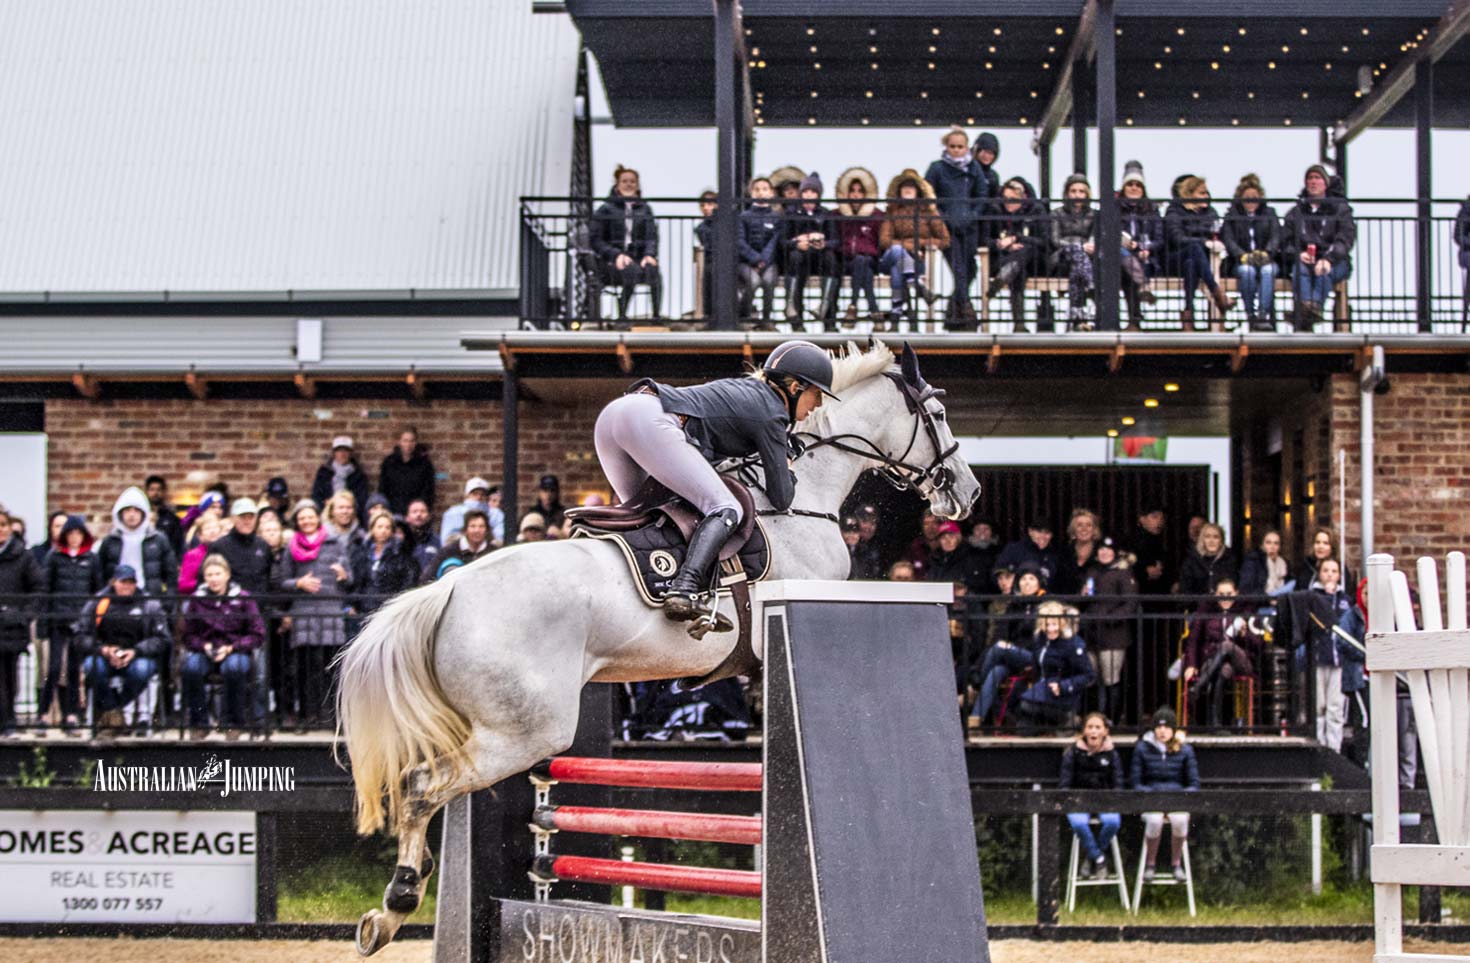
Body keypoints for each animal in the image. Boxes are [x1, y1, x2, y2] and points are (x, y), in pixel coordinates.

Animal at [335, 341, 976, 958]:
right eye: (940, 414)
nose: (967, 493)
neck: (802, 501)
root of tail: (447, 589)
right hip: (526, 733)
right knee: (422, 785)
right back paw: (395, 904)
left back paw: (387, 912)